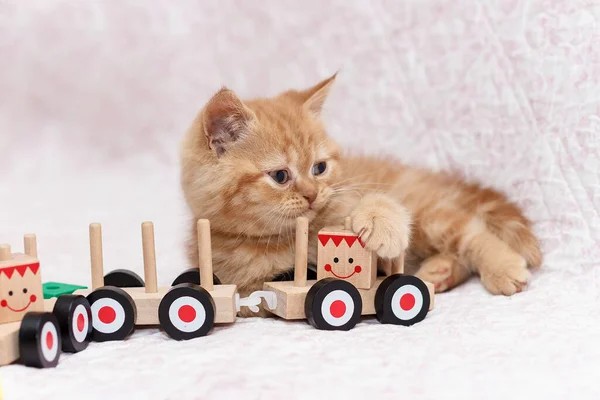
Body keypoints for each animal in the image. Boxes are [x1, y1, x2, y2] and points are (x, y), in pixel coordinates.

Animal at [179, 72, 544, 316]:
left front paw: (382, 223)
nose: (313, 195)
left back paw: (501, 268)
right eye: (280, 176)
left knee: (469, 230)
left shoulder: (350, 196)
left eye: (319, 168)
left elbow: (377, 212)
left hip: (430, 214)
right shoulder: (243, 284)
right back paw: (438, 272)